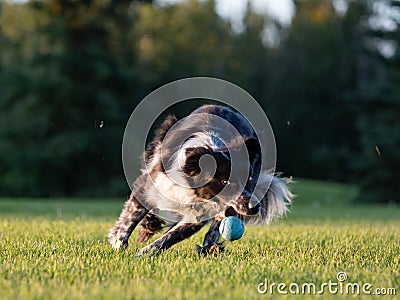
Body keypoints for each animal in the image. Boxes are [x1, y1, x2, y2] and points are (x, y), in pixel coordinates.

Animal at [108, 104, 292, 254]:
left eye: (250, 179)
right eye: (225, 182)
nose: (255, 207)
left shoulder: (199, 214)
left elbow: (171, 236)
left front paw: (146, 252)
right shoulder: (151, 184)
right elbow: (132, 216)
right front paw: (119, 243)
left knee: (215, 228)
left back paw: (209, 247)